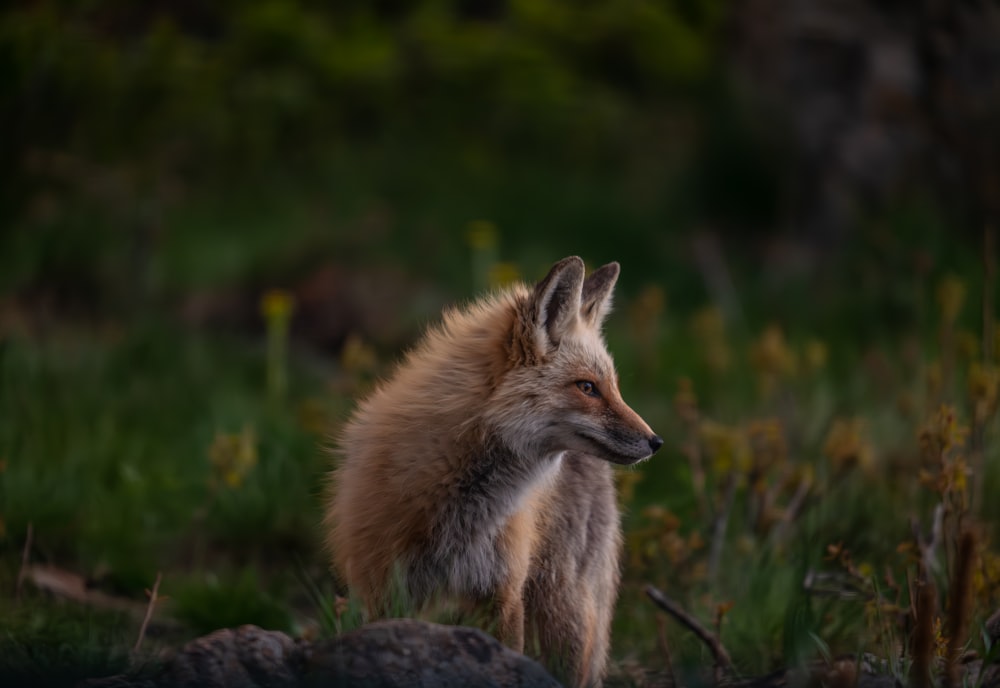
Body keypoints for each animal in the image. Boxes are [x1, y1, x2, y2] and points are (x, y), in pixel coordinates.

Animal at [324, 255, 660, 684]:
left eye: (614, 387)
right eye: (587, 387)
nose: (655, 442)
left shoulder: (502, 592)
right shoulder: (381, 587)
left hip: (562, 610)